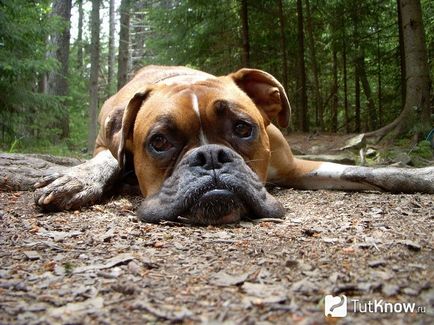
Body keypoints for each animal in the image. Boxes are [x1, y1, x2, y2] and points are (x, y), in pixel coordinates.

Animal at [34, 65, 434, 224]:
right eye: (159, 142)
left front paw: (422, 174)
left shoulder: (296, 168)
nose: (211, 156)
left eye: (243, 128)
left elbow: (369, 172)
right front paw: (78, 180)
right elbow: (110, 159)